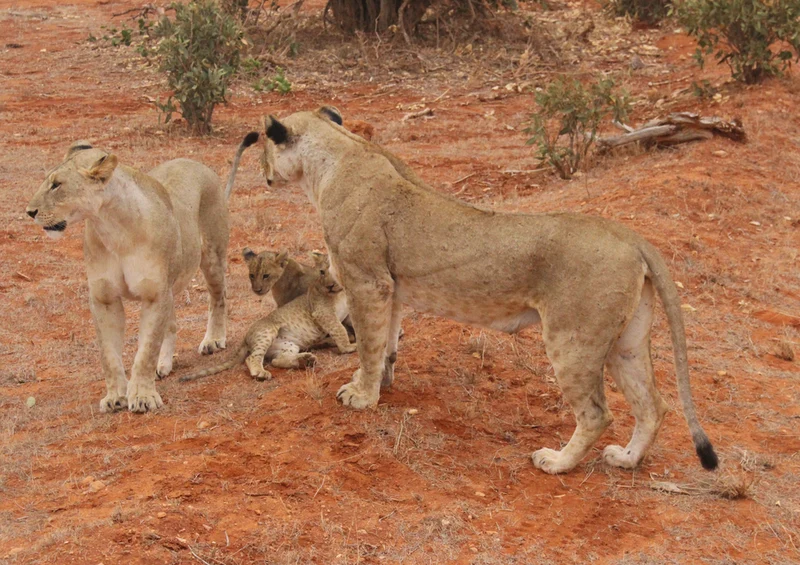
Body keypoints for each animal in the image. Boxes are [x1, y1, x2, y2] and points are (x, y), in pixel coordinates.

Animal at [25, 132, 259, 413]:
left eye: (57, 185)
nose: (29, 212)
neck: (113, 229)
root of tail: (197, 163)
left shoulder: (155, 294)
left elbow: (145, 351)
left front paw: (143, 397)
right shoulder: (104, 298)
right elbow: (109, 355)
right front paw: (116, 396)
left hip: (211, 257)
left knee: (218, 297)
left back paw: (213, 340)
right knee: (172, 323)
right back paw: (164, 364)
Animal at [180, 252, 356, 383]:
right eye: (322, 272)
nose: (330, 286)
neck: (340, 293)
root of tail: (245, 338)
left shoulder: (346, 314)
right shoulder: (322, 313)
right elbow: (339, 329)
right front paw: (348, 347)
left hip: (287, 345)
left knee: (277, 360)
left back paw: (304, 360)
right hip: (267, 332)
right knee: (252, 357)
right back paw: (261, 373)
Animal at [258, 106, 719, 475]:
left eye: (261, 146)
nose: (263, 176)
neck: (335, 156)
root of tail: (629, 236)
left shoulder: (366, 280)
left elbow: (369, 345)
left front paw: (362, 396)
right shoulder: (391, 287)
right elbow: (386, 343)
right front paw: (378, 383)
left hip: (573, 339)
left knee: (596, 414)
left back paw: (556, 462)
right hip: (625, 342)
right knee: (653, 406)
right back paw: (625, 459)